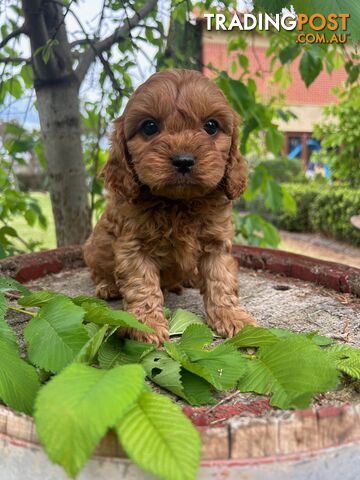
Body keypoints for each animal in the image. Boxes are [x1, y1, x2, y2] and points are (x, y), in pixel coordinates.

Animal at [82, 68, 256, 344]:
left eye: (211, 126)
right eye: (149, 126)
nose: (183, 160)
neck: (179, 203)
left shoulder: (217, 242)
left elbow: (221, 280)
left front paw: (232, 317)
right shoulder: (133, 246)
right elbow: (142, 285)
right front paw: (146, 325)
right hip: (92, 249)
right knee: (97, 271)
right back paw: (107, 286)